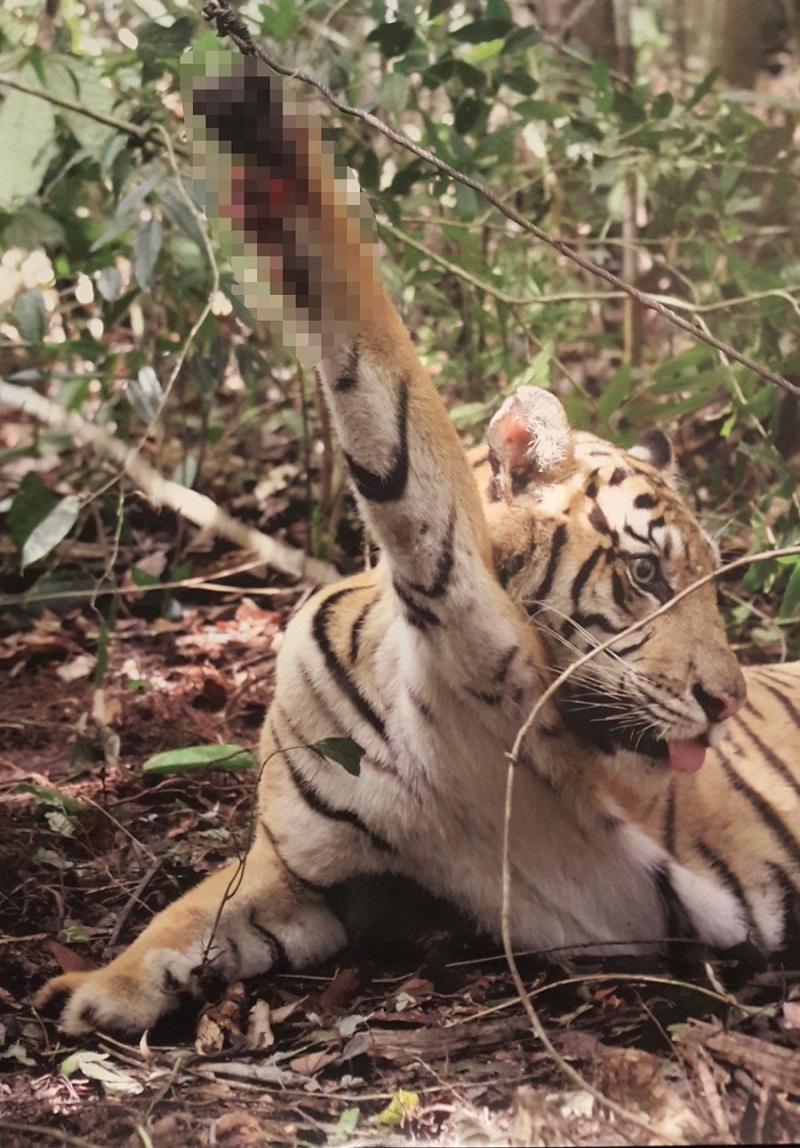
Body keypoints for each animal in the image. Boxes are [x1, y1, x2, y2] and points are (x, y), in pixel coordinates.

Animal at [36, 55, 799, 1036]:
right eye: (644, 573)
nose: (727, 703)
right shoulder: (304, 873)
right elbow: (187, 910)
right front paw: (98, 986)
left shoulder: (464, 609)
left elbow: (387, 398)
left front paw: (277, 161)